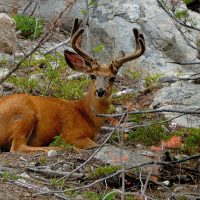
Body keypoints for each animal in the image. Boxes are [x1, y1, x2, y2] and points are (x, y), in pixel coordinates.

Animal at [0, 18, 145, 153]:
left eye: (112, 78)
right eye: (92, 76)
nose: (100, 91)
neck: (88, 117)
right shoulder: (72, 134)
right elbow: (94, 145)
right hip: (24, 113)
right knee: (17, 146)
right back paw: (56, 148)